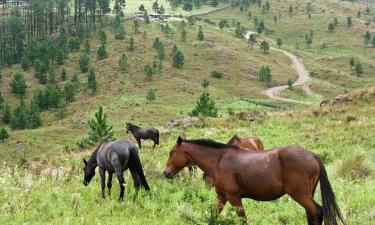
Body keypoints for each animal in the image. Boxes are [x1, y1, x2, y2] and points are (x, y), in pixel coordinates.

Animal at [164, 137, 346, 225]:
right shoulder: (221, 197)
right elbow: (214, 216)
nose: (166, 173)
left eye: (171, 153)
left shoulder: (234, 198)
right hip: (307, 194)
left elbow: (243, 220)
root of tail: (312, 155)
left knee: (317, 212)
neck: (219, 160)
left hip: (300, 195)